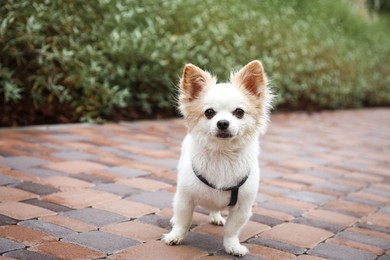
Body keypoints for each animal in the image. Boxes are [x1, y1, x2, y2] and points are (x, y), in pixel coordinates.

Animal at [163, 60, 272, 256]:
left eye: (239, 112)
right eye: (209, 113)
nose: (222, 123)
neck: (222, 155)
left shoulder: (242, 207)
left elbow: (232, 229)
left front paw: (232, 246)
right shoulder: (185, 198)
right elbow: (183, 221)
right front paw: (175, 236)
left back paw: (216, 217)